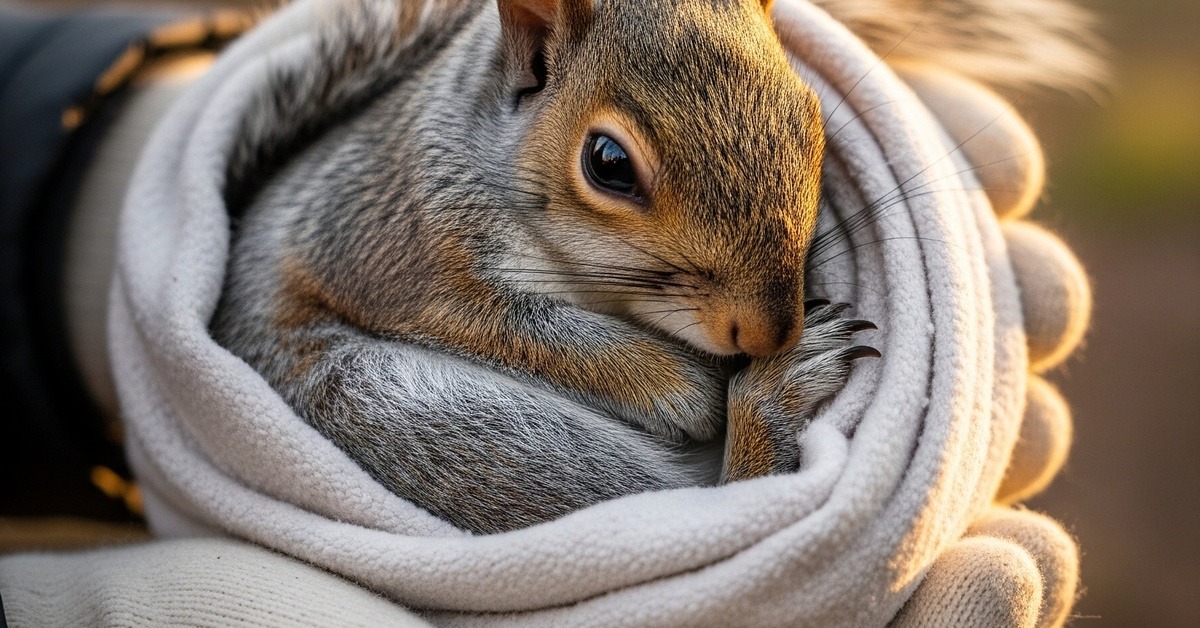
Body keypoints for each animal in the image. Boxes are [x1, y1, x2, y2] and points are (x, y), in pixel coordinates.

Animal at [211, 0, 1099, 534]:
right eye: (607, 163)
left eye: (810, 116)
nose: (768, 331)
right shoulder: (390, 246)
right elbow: (525, 329)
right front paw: (682, 388)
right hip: (443, 426)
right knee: (701, 507)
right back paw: (774, 396)